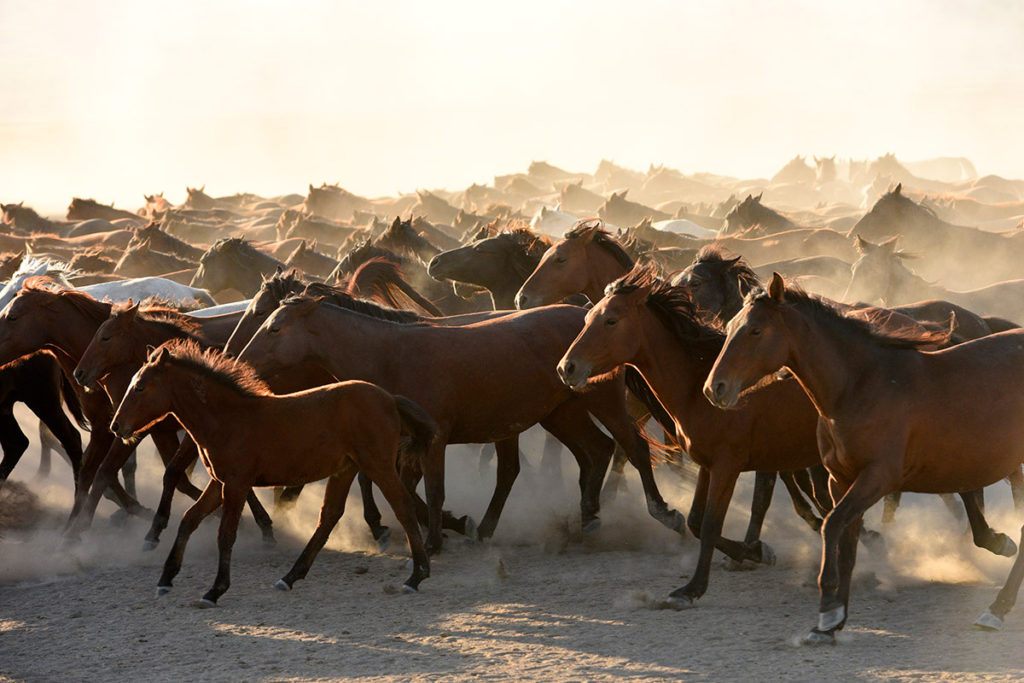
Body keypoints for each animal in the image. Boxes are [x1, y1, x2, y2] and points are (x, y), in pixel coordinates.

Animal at [111, 339, 436, 602]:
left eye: (140, 387)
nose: (116, 426)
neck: (228, 419)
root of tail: (390, 399)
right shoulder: (219, 482)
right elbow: (189, 520)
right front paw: (165, 580)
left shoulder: (236, 484)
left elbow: (225, 534)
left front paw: (215, 590)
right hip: (346, 468)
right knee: (330, 516)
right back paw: (289, 577)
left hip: (377, 464)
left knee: (403, 508)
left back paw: (416, 576)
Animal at [237, 296, 688, 552]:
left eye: (273, 327)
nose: (240, 361)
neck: (390, 354)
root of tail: (585, 317)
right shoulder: (407, 443)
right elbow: (405, 490)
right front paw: (449, 526)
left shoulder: (432, 439)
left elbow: (432, 491)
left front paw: (437, 539)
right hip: (561, 413)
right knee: (596, 451)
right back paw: (586, 519)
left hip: (600, 400)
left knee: (633, 447)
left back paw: (664, 513)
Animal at [708, 272, 1024, 643]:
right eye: (730, 325)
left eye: (756, 330)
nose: (715, 388)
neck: (860, 385)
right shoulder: (840, 479)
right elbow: (848, 544)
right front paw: (832, 623)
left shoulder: (877, 478)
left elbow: (831, 525)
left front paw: (828, 609)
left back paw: (996, 608)